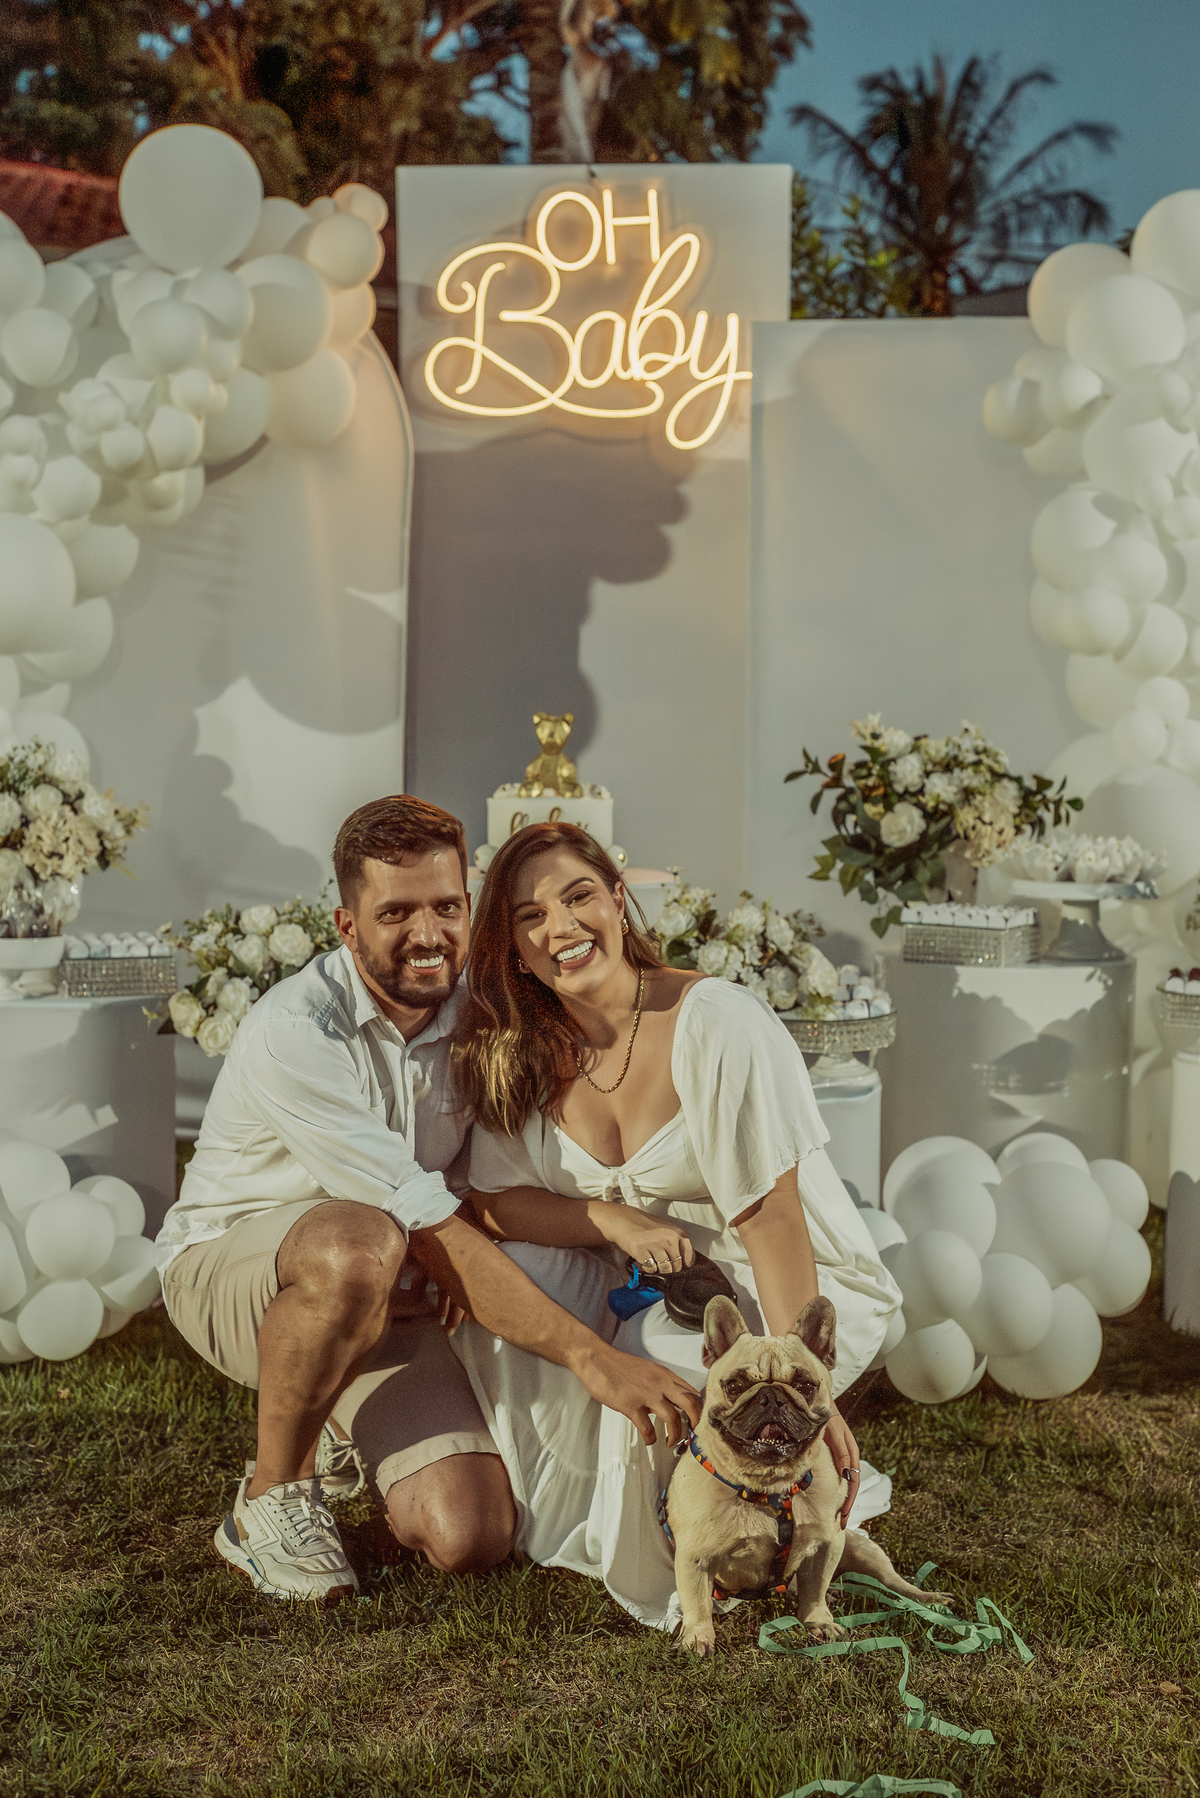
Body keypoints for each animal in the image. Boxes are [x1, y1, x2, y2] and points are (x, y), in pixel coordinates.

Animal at [665, 1294, 949, 1656]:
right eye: (735, 1385)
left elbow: (815, 1589)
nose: (771, 1396)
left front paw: (819, 1622)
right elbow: (697, 1602)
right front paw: (698, 1637)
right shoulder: (695, 1557)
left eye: (805, 1385)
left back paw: (928, 1598)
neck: (769, 1487)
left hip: (863, 1548)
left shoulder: (827, 1543)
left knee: (893, 1582)